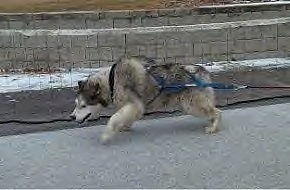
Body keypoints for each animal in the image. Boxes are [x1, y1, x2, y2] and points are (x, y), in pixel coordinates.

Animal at [71, 55, 222, 143]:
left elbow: (114, 118)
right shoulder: (133, 107)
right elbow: (124, 117)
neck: (111, 81)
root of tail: (203, 71)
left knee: (218, 112)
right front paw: (124, 126)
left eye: (83, 105)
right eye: (76, 103)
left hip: (191, 104)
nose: (71, 117)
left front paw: (106, 134)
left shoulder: (134, 104)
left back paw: (214, 127)